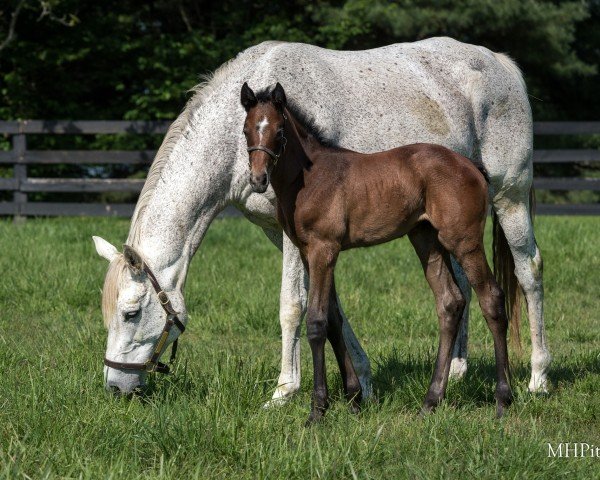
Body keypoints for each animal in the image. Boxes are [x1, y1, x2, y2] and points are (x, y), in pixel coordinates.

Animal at [241, 82, 512, 424]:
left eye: (279, 131)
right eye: (246, 129)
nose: (257, 180)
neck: (309, 177)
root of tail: (472, 166)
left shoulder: (323, 249)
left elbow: (317, 322)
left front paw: (318, 410)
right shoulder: (309, 253)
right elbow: (334, 320)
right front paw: (354, 398)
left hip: (464, 240)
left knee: (491, 298)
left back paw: (503, 401)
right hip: (425, 239)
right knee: (450, 302)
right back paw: (430, 401)